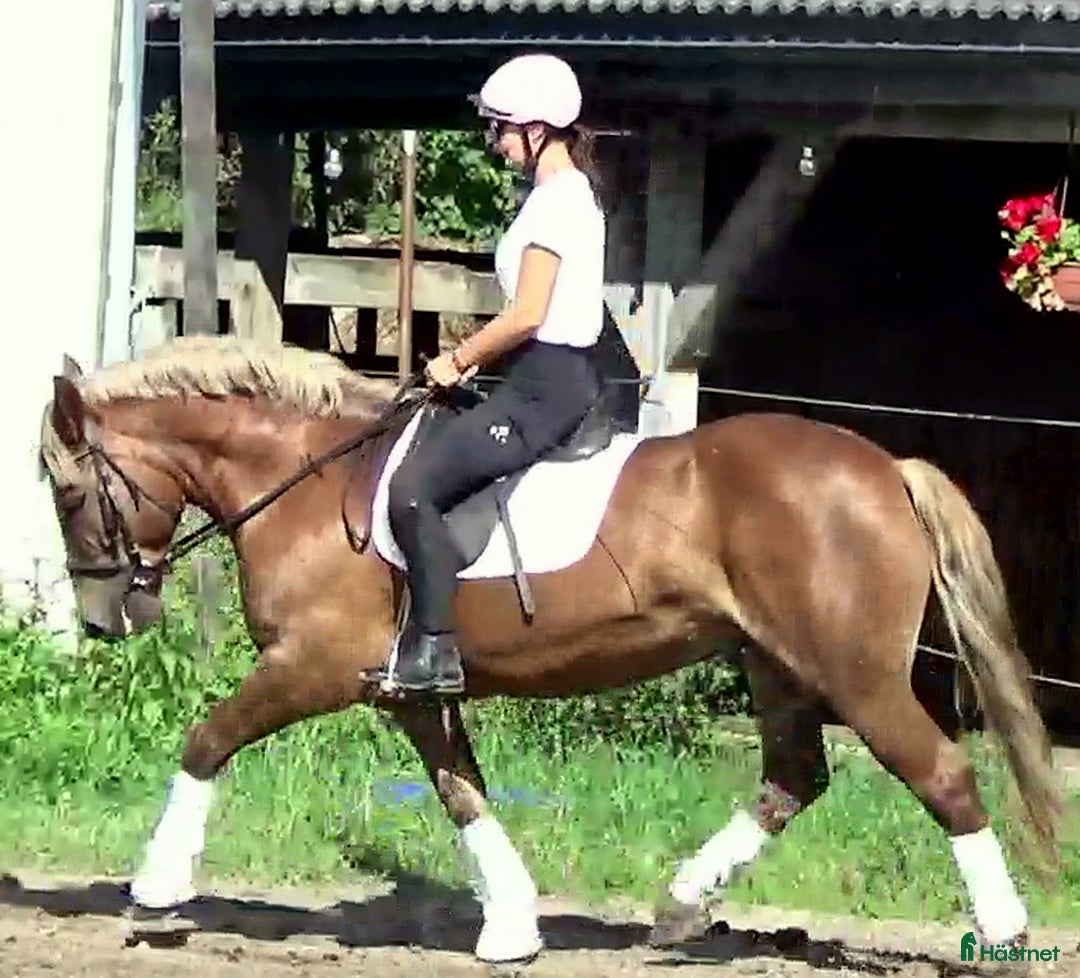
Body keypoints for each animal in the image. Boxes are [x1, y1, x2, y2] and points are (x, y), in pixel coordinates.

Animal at [37, 334, 1064, 965]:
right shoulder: (410, 690)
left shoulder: (312, 667)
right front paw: (513, 928)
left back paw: (1005, 936)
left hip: (855, 673)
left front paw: (156, 885)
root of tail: (885, 467)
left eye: (70, 492)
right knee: (794, 777)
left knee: (942, 776)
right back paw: (681, 904)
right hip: (774, 663)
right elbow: (462, 792)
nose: (102, 621)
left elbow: (206, 740)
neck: (306, 484)